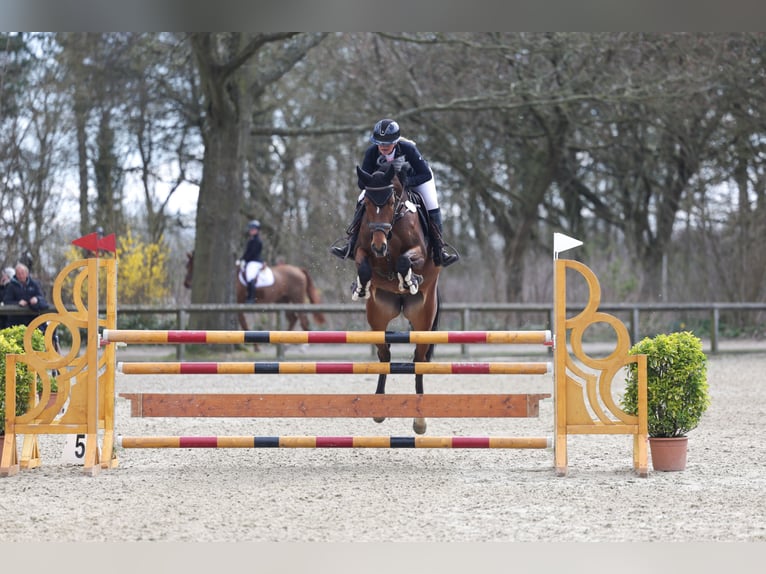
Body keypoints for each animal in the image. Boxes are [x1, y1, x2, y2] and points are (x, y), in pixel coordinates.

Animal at [184, 252, 326, 349]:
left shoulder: (238, 305)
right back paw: (284, 343)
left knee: (303, 320)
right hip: (283, 300)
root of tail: (299, 269)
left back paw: (303, 346)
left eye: (190, 266)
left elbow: (244, 325)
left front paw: (256, 347)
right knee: (293, 319)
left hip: (297, 299)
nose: (186, 284)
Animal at [351, 162, 441, 435]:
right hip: (377, 315)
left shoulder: (419, 252)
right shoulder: (362, 248)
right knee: (384, 355)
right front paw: (361, 285)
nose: (380, 246)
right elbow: (364, 265)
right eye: (368, 204)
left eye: (391, 202)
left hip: (423, 317)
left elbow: (404, 261)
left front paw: (409, 280)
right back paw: (379, 408)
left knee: (419, 359)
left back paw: (420, 421)